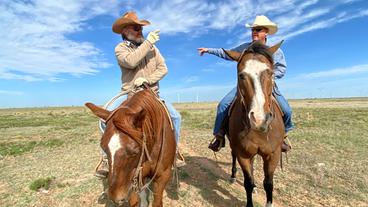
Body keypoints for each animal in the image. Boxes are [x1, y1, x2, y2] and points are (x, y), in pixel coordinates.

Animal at [223, 40, 286, 207]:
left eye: (270, 73)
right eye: (241, 75)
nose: (259, 119)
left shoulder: (273, 154)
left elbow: (269, 183)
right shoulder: (242, 153)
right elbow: (248, 183)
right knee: (233, 156)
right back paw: (233, 176)